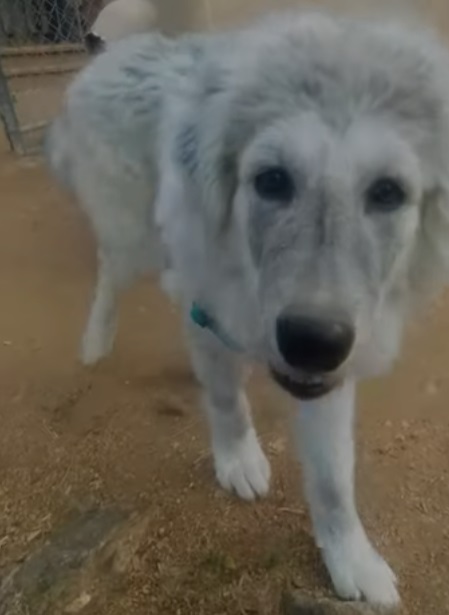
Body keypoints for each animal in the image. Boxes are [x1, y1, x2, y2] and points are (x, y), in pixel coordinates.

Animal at [45, 12, 449, 608]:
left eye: (388, 192)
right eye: (272, 180)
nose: (312, 340)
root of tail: (118, 52)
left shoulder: (333, 366)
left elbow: (333, 480)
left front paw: (351, 558)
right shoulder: (211, 310)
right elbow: (227, 400)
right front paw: (238, 459)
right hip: (129, 236)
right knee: (109, 273)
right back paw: (95, 343)